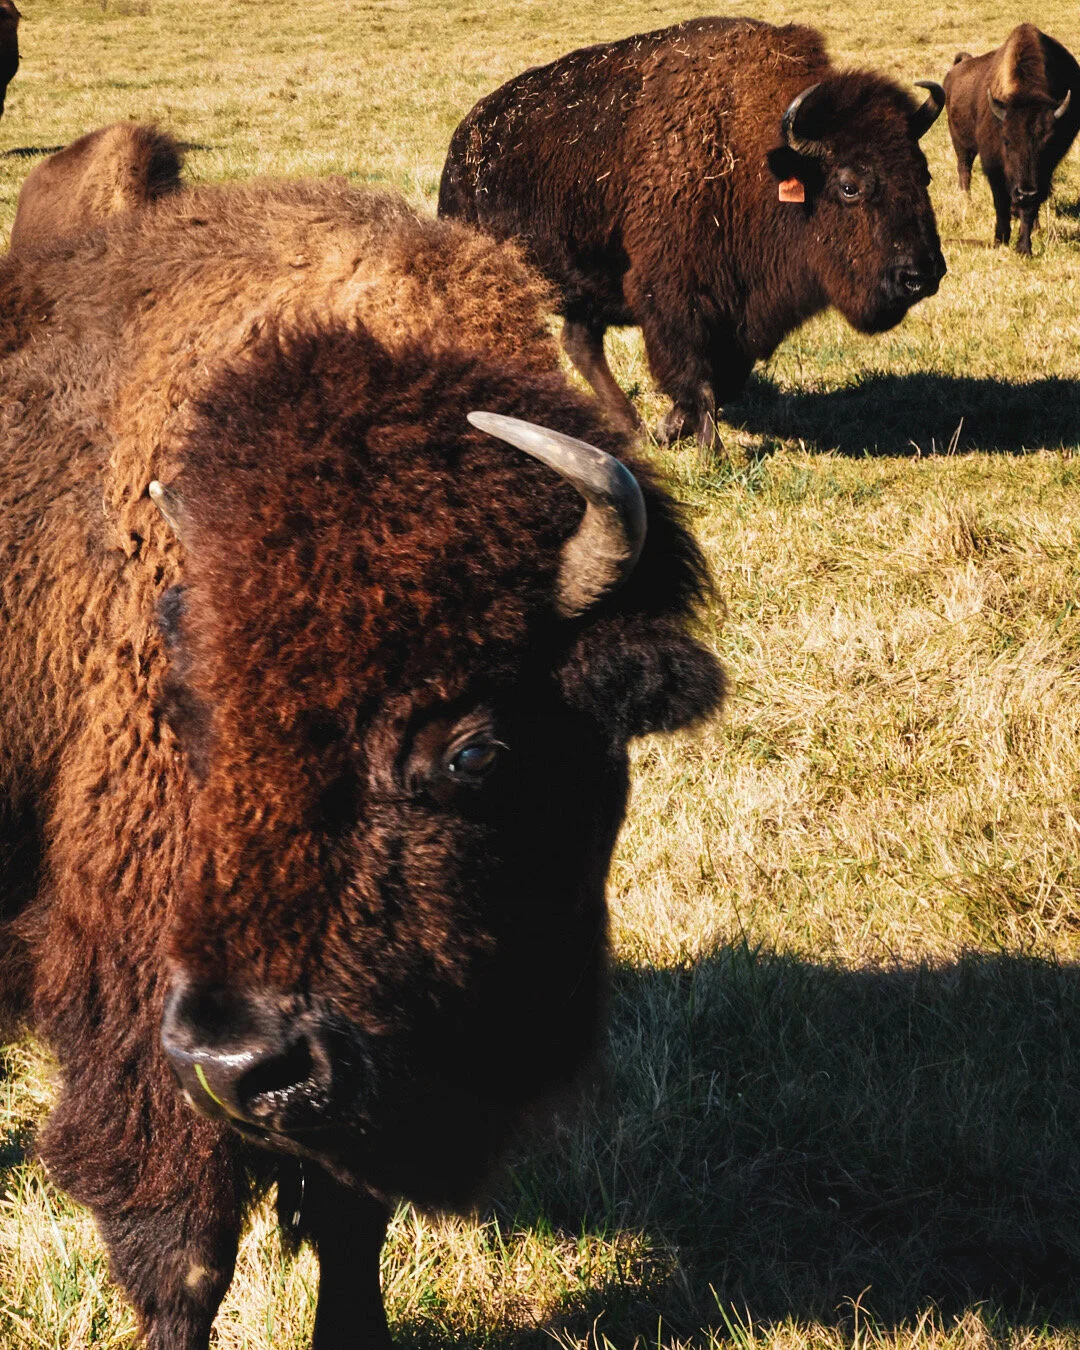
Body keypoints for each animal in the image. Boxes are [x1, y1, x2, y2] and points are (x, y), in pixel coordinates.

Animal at [0, 165, 724, 1348]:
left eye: (474, 751)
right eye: (186, 712)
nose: (240, 1064)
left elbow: (351, 1219)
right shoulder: (142, 1018)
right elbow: (184, 1250)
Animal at [439, 17, 947, 448]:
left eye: (923, 174)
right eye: (849, 186)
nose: (921, 275)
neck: (759, 159)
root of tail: (463, 144)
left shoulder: (734, 314)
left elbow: (721, 380)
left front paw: (668, 429)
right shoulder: (673, 297)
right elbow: (696, 378)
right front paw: (707, 448)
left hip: (588, 287)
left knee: (581, 343)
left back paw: (629, 426)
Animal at [943, 24, 1080, 255]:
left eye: (1049, 143)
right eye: (1006, 141)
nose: (1026, 191)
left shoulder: (1040, 176)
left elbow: (1030, 208)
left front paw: (1024, 247)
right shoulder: (993, 167)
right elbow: (1000, 204)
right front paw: (1000, 239)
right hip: (961, 143)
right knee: (964, 170)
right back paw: (966, 203)